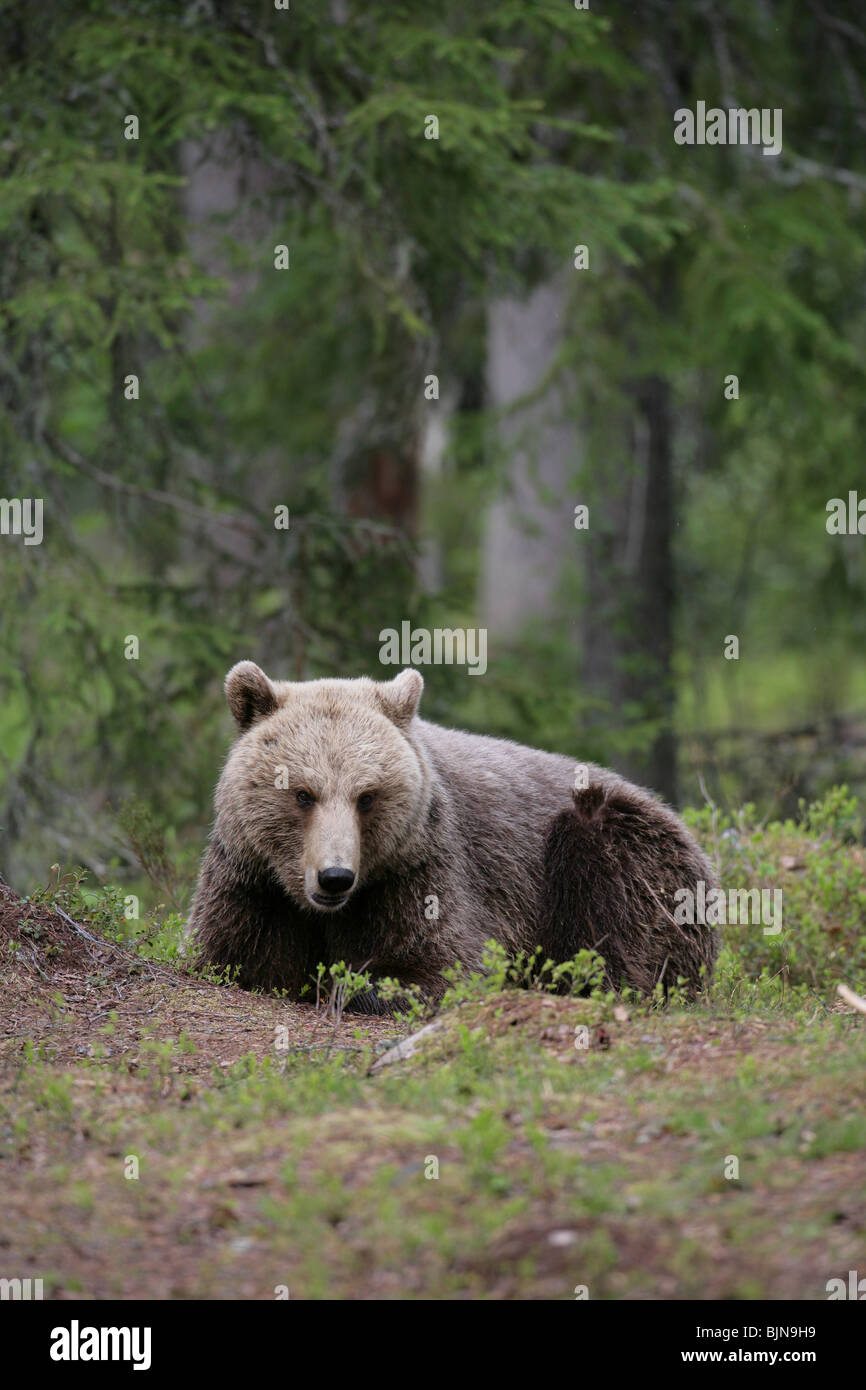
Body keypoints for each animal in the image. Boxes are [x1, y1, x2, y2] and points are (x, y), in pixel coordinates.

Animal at [187, 662, 719, 1012]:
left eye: (367, 796)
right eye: (303, 794)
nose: (334, 877)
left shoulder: (423, 870)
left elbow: (445, 964)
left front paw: (355, 984)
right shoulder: (251, 882)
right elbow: (235, 956)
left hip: (622, 844)